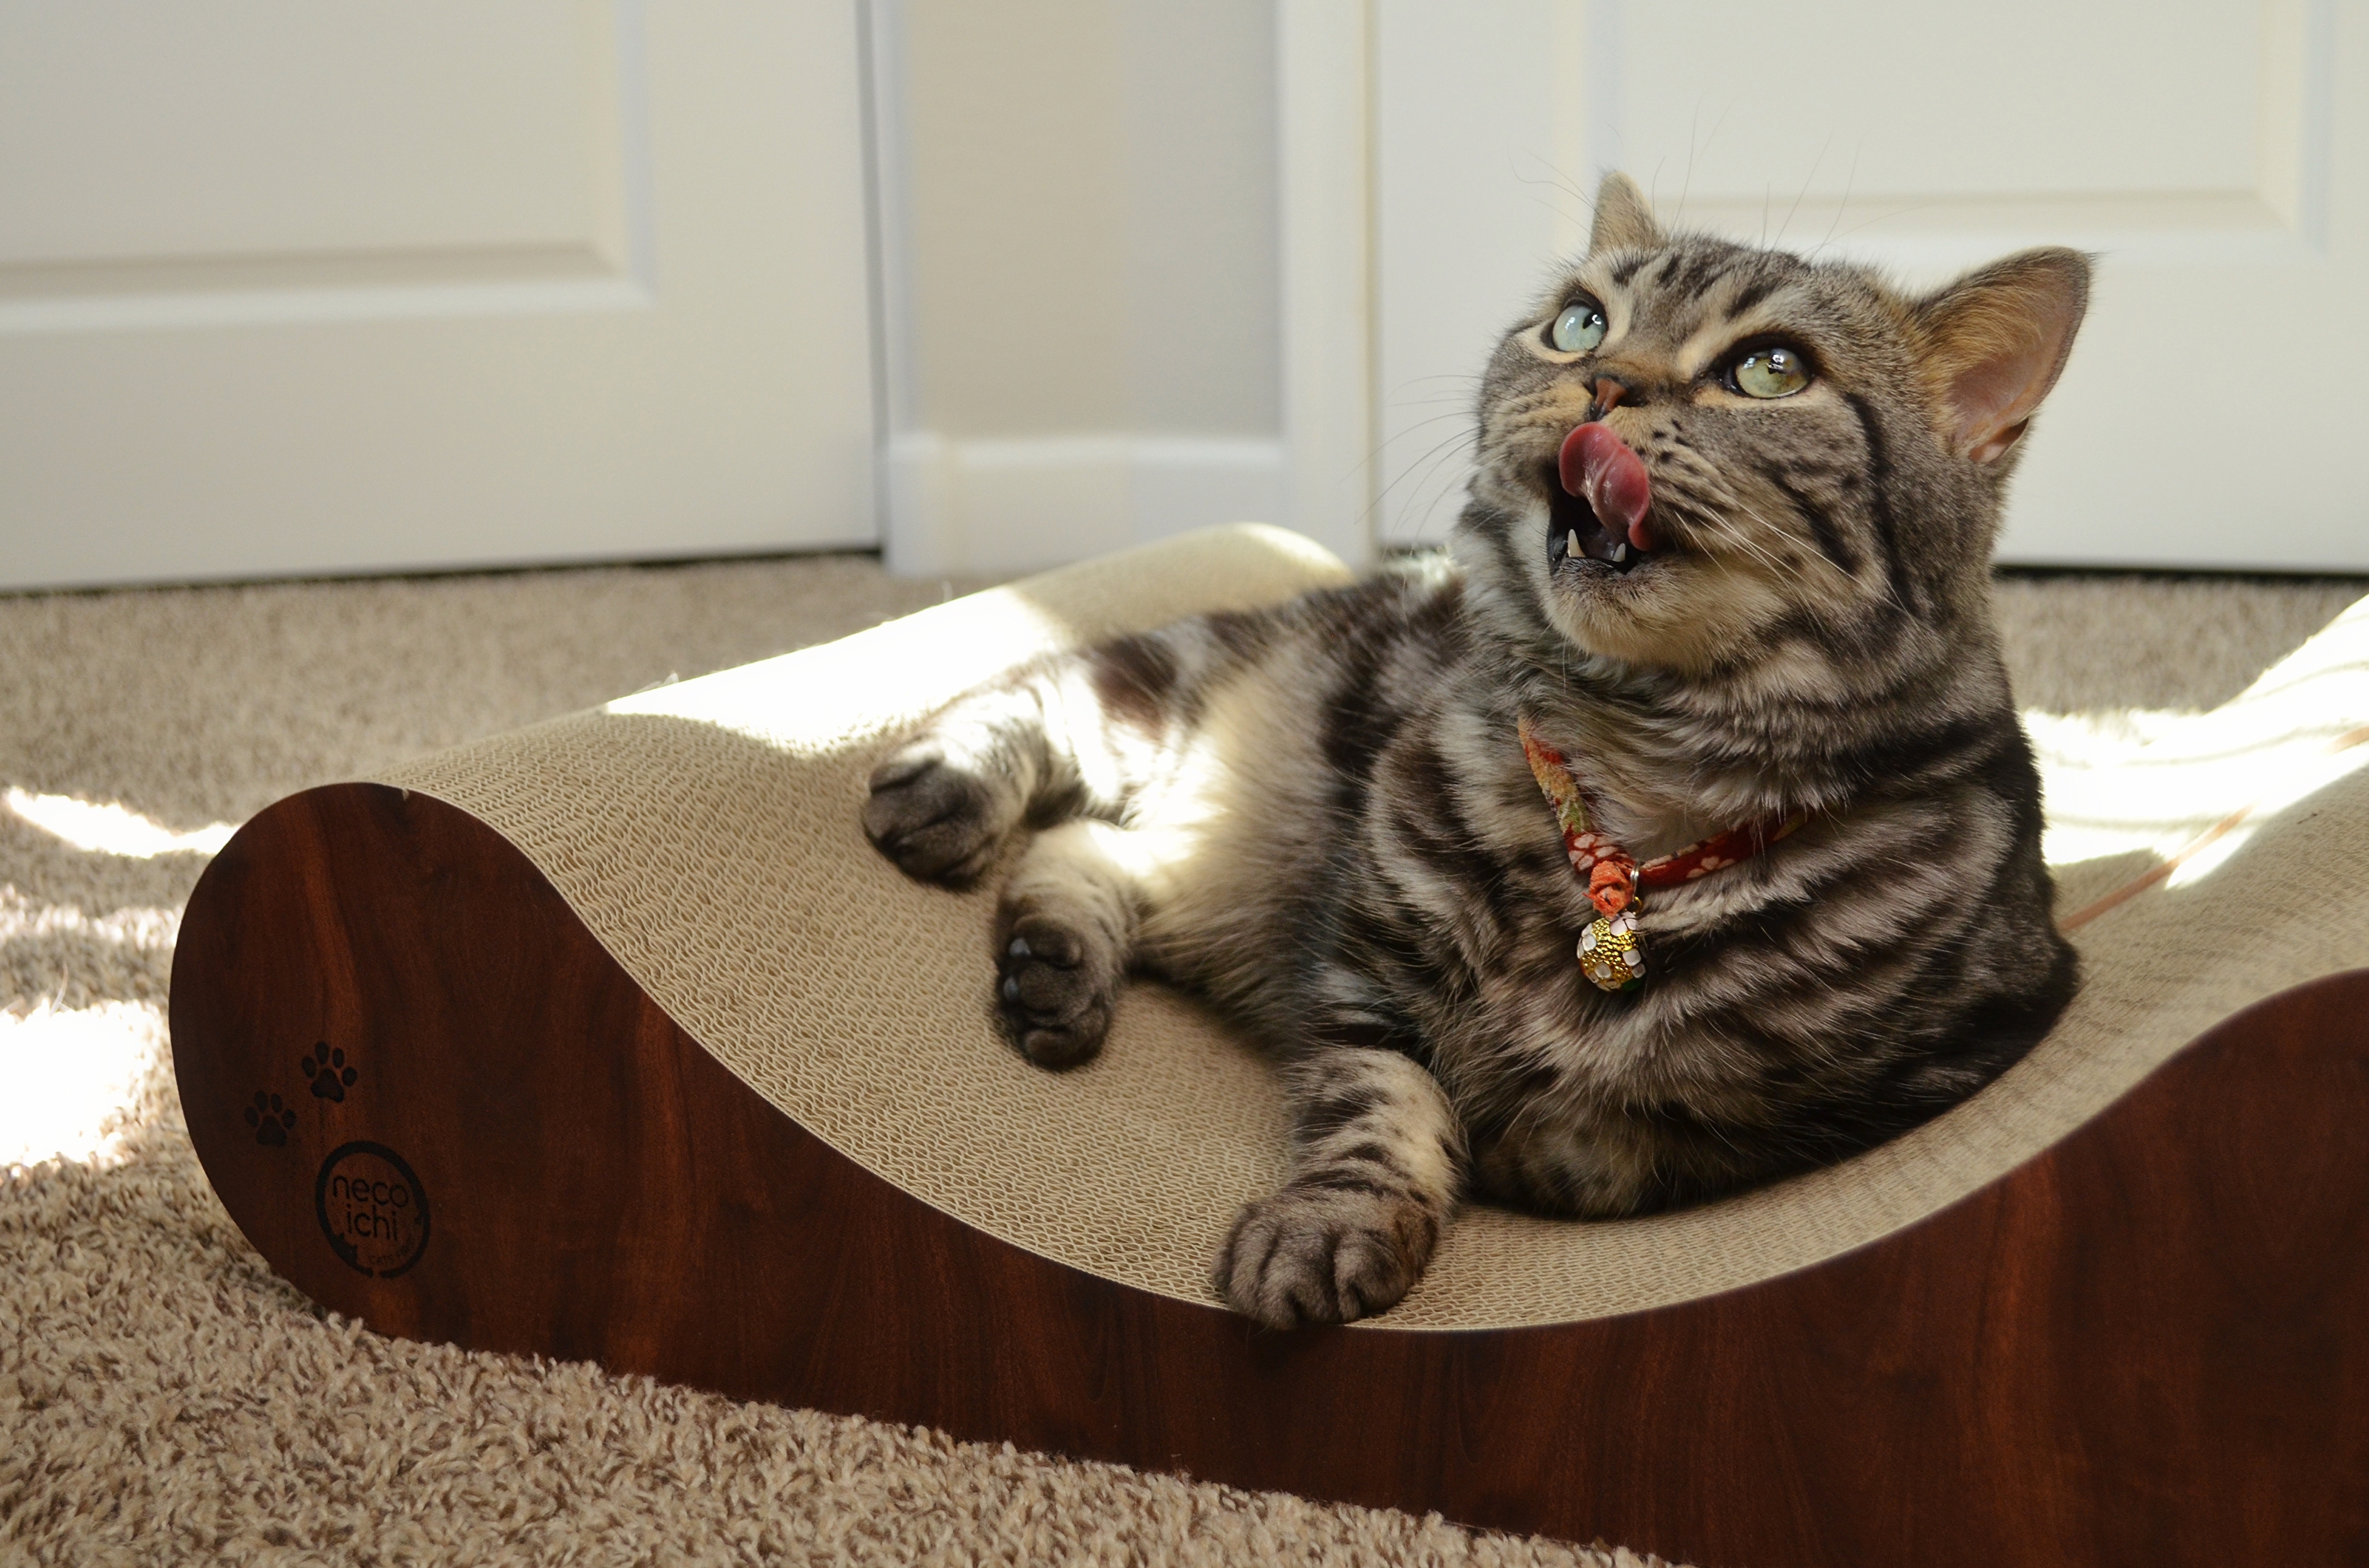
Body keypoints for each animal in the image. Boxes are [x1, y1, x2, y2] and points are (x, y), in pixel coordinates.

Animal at [862, 171, 2085, 1326]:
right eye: (1580, 322)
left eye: (1770, 371)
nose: (1603, 381)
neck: (1635, 780)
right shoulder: (1363, 972)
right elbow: (1376, 1109)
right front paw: (1328, 1223)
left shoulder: (1921, 1071)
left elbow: (1626, 1142)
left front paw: (1525, 1133)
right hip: (1186, 696)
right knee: (1056, 721)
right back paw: (952, 806)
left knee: (1104, 850)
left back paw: (1054, 965)